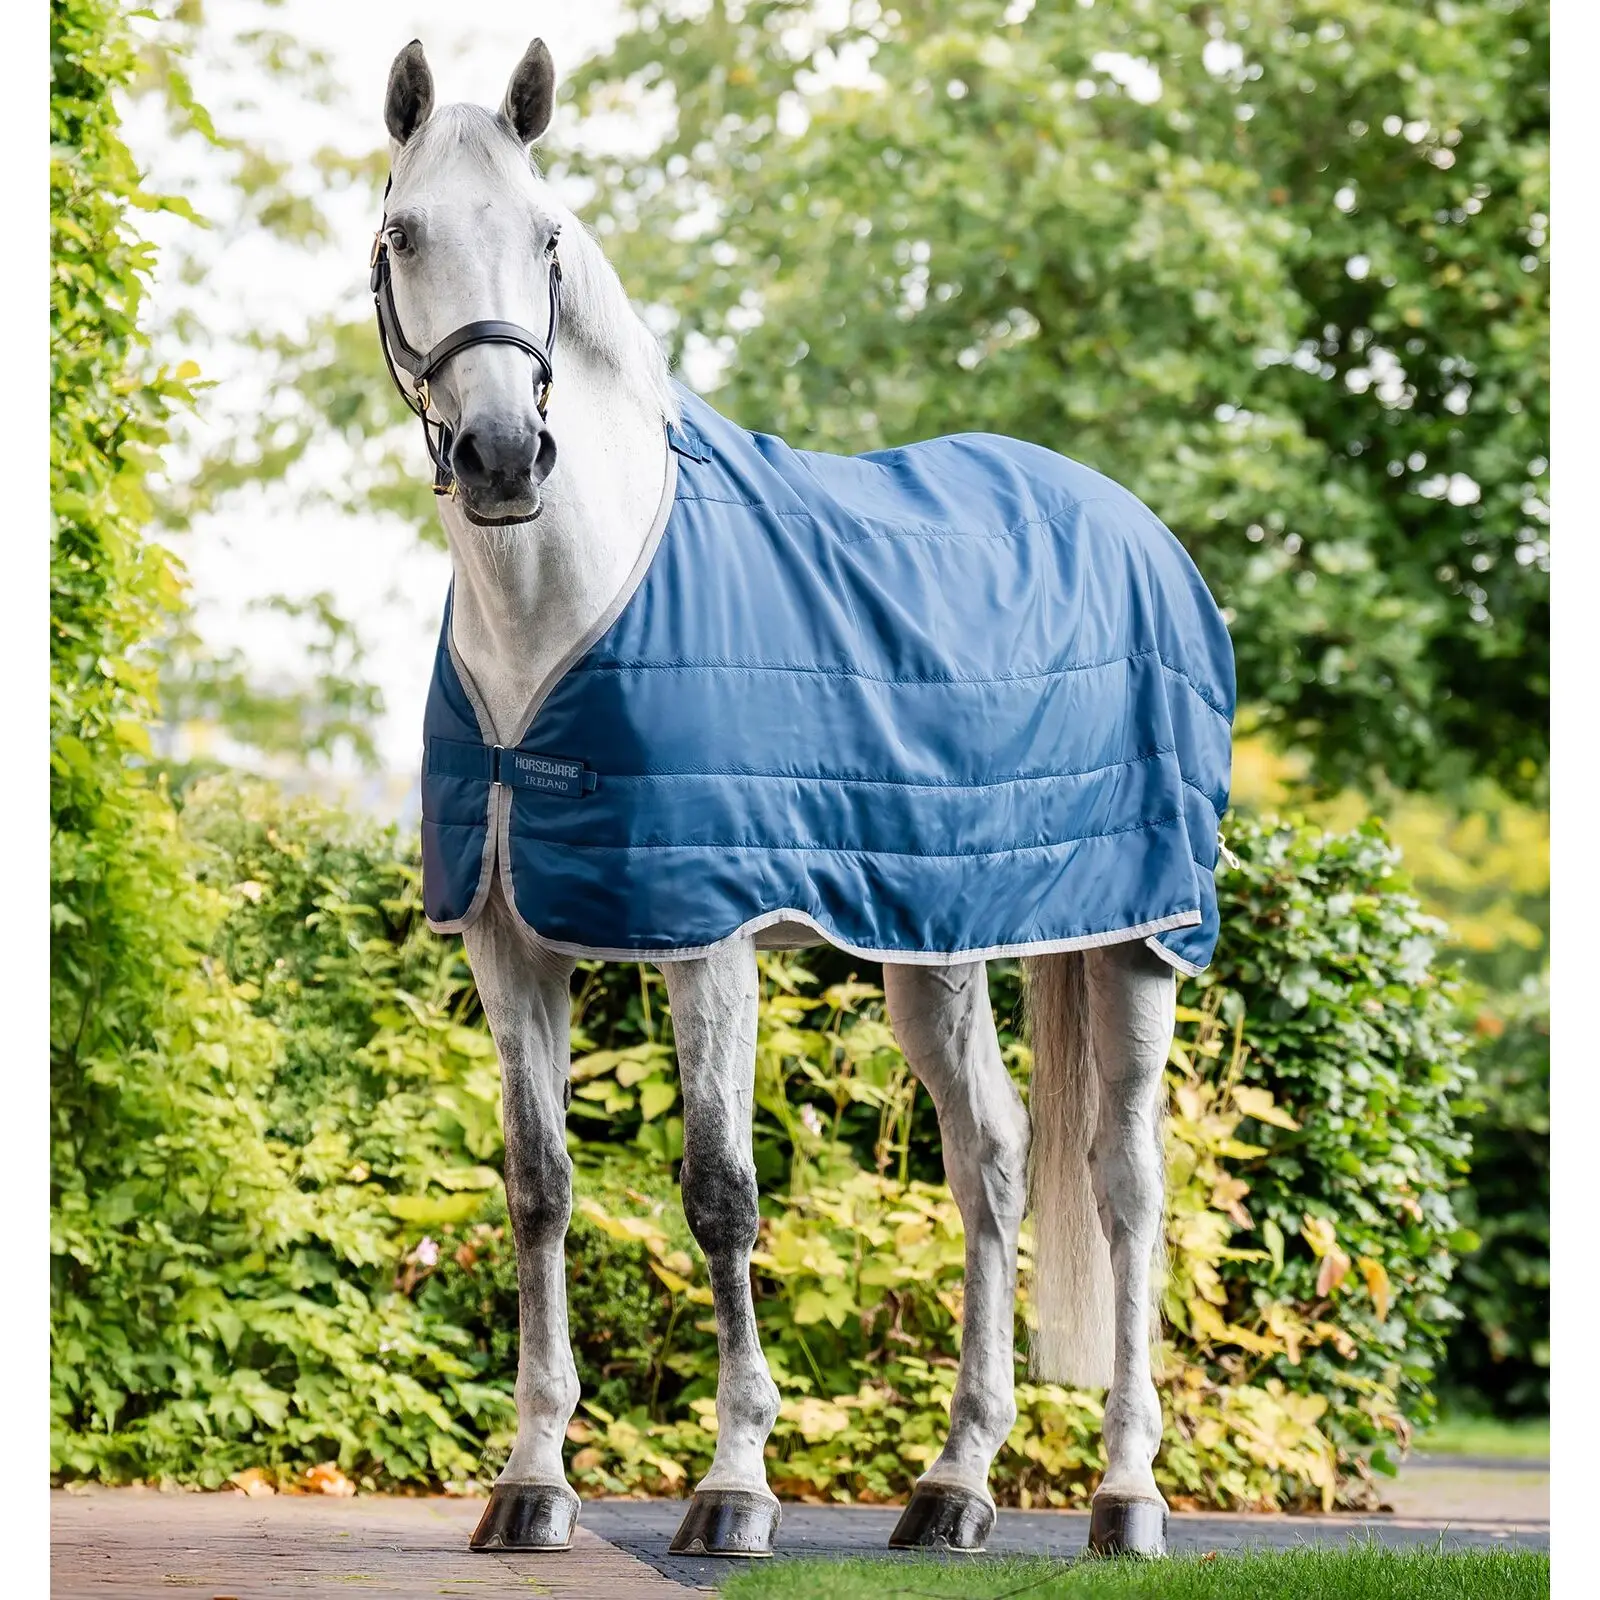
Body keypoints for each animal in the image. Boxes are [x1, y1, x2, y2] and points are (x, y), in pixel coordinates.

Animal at [373, 38, 1234, 1562]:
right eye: (404, 234)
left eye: (546, 239)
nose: (501, 456)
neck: (564, 610)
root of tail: (1140, 529)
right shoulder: (507, 939)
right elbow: (537, 1187)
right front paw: (530, 1482)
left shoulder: (706, 934)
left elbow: (721, 1194)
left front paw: (734, 1486)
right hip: (936, 945)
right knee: (991, 1158)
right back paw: (953, 1486)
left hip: (1139, 940)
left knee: (1125, 1185)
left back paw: (1126, 1498)